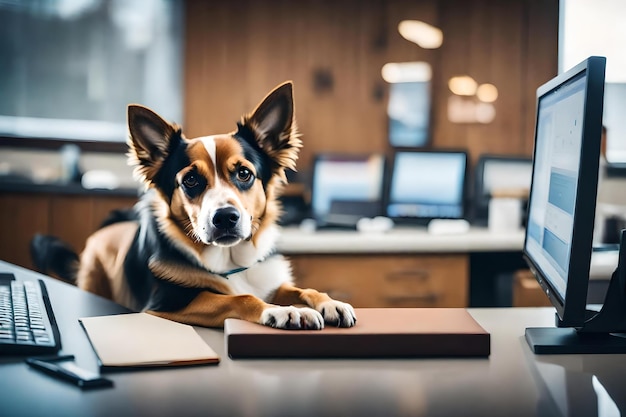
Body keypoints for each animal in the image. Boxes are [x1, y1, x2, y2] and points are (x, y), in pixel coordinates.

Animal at [31, 80, 354, 328]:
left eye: (244, 173)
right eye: (190, 180)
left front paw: (329, 302)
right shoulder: (166, 303)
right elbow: (240, 298)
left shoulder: (270, 282)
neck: (231, 263)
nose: (225, 218)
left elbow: (300, 288)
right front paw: (282, 311)